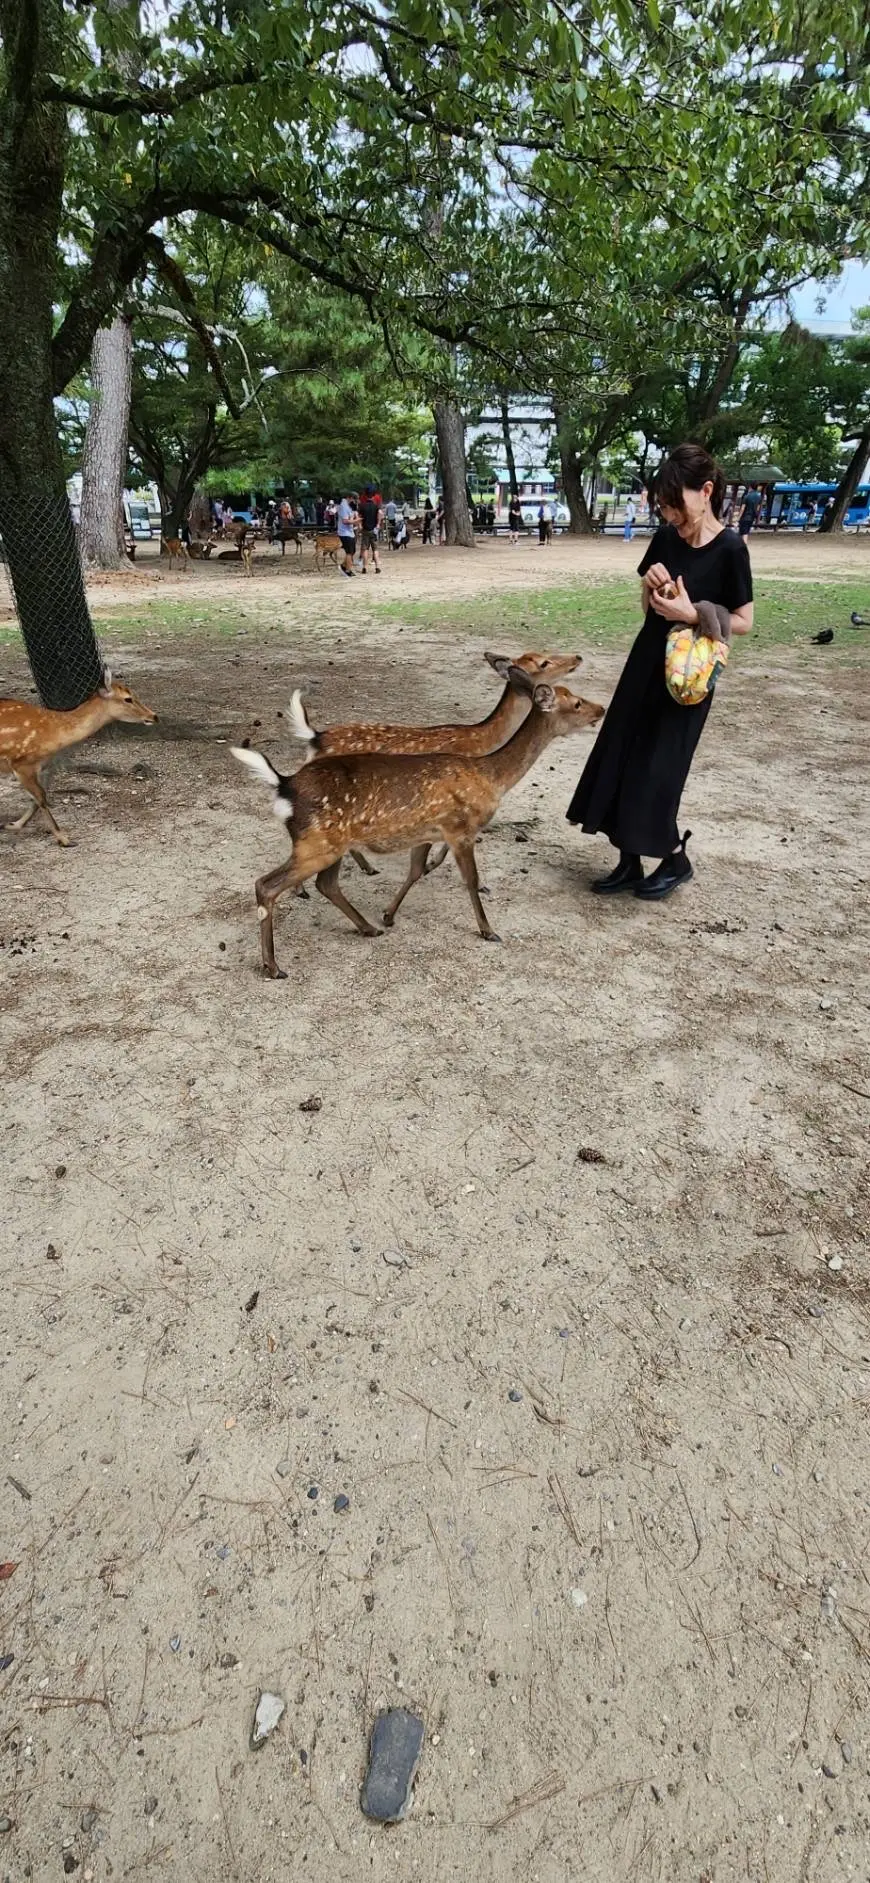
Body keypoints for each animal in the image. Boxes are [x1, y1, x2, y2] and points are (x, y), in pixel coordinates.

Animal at [0, 670, 157, 846]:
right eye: (128, 698)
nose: (154, 716)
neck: (52, 734)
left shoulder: (40, 765)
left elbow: (39, 796)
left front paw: (12, 824)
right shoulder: (20, 763)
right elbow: (40, 797)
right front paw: (64, 839)